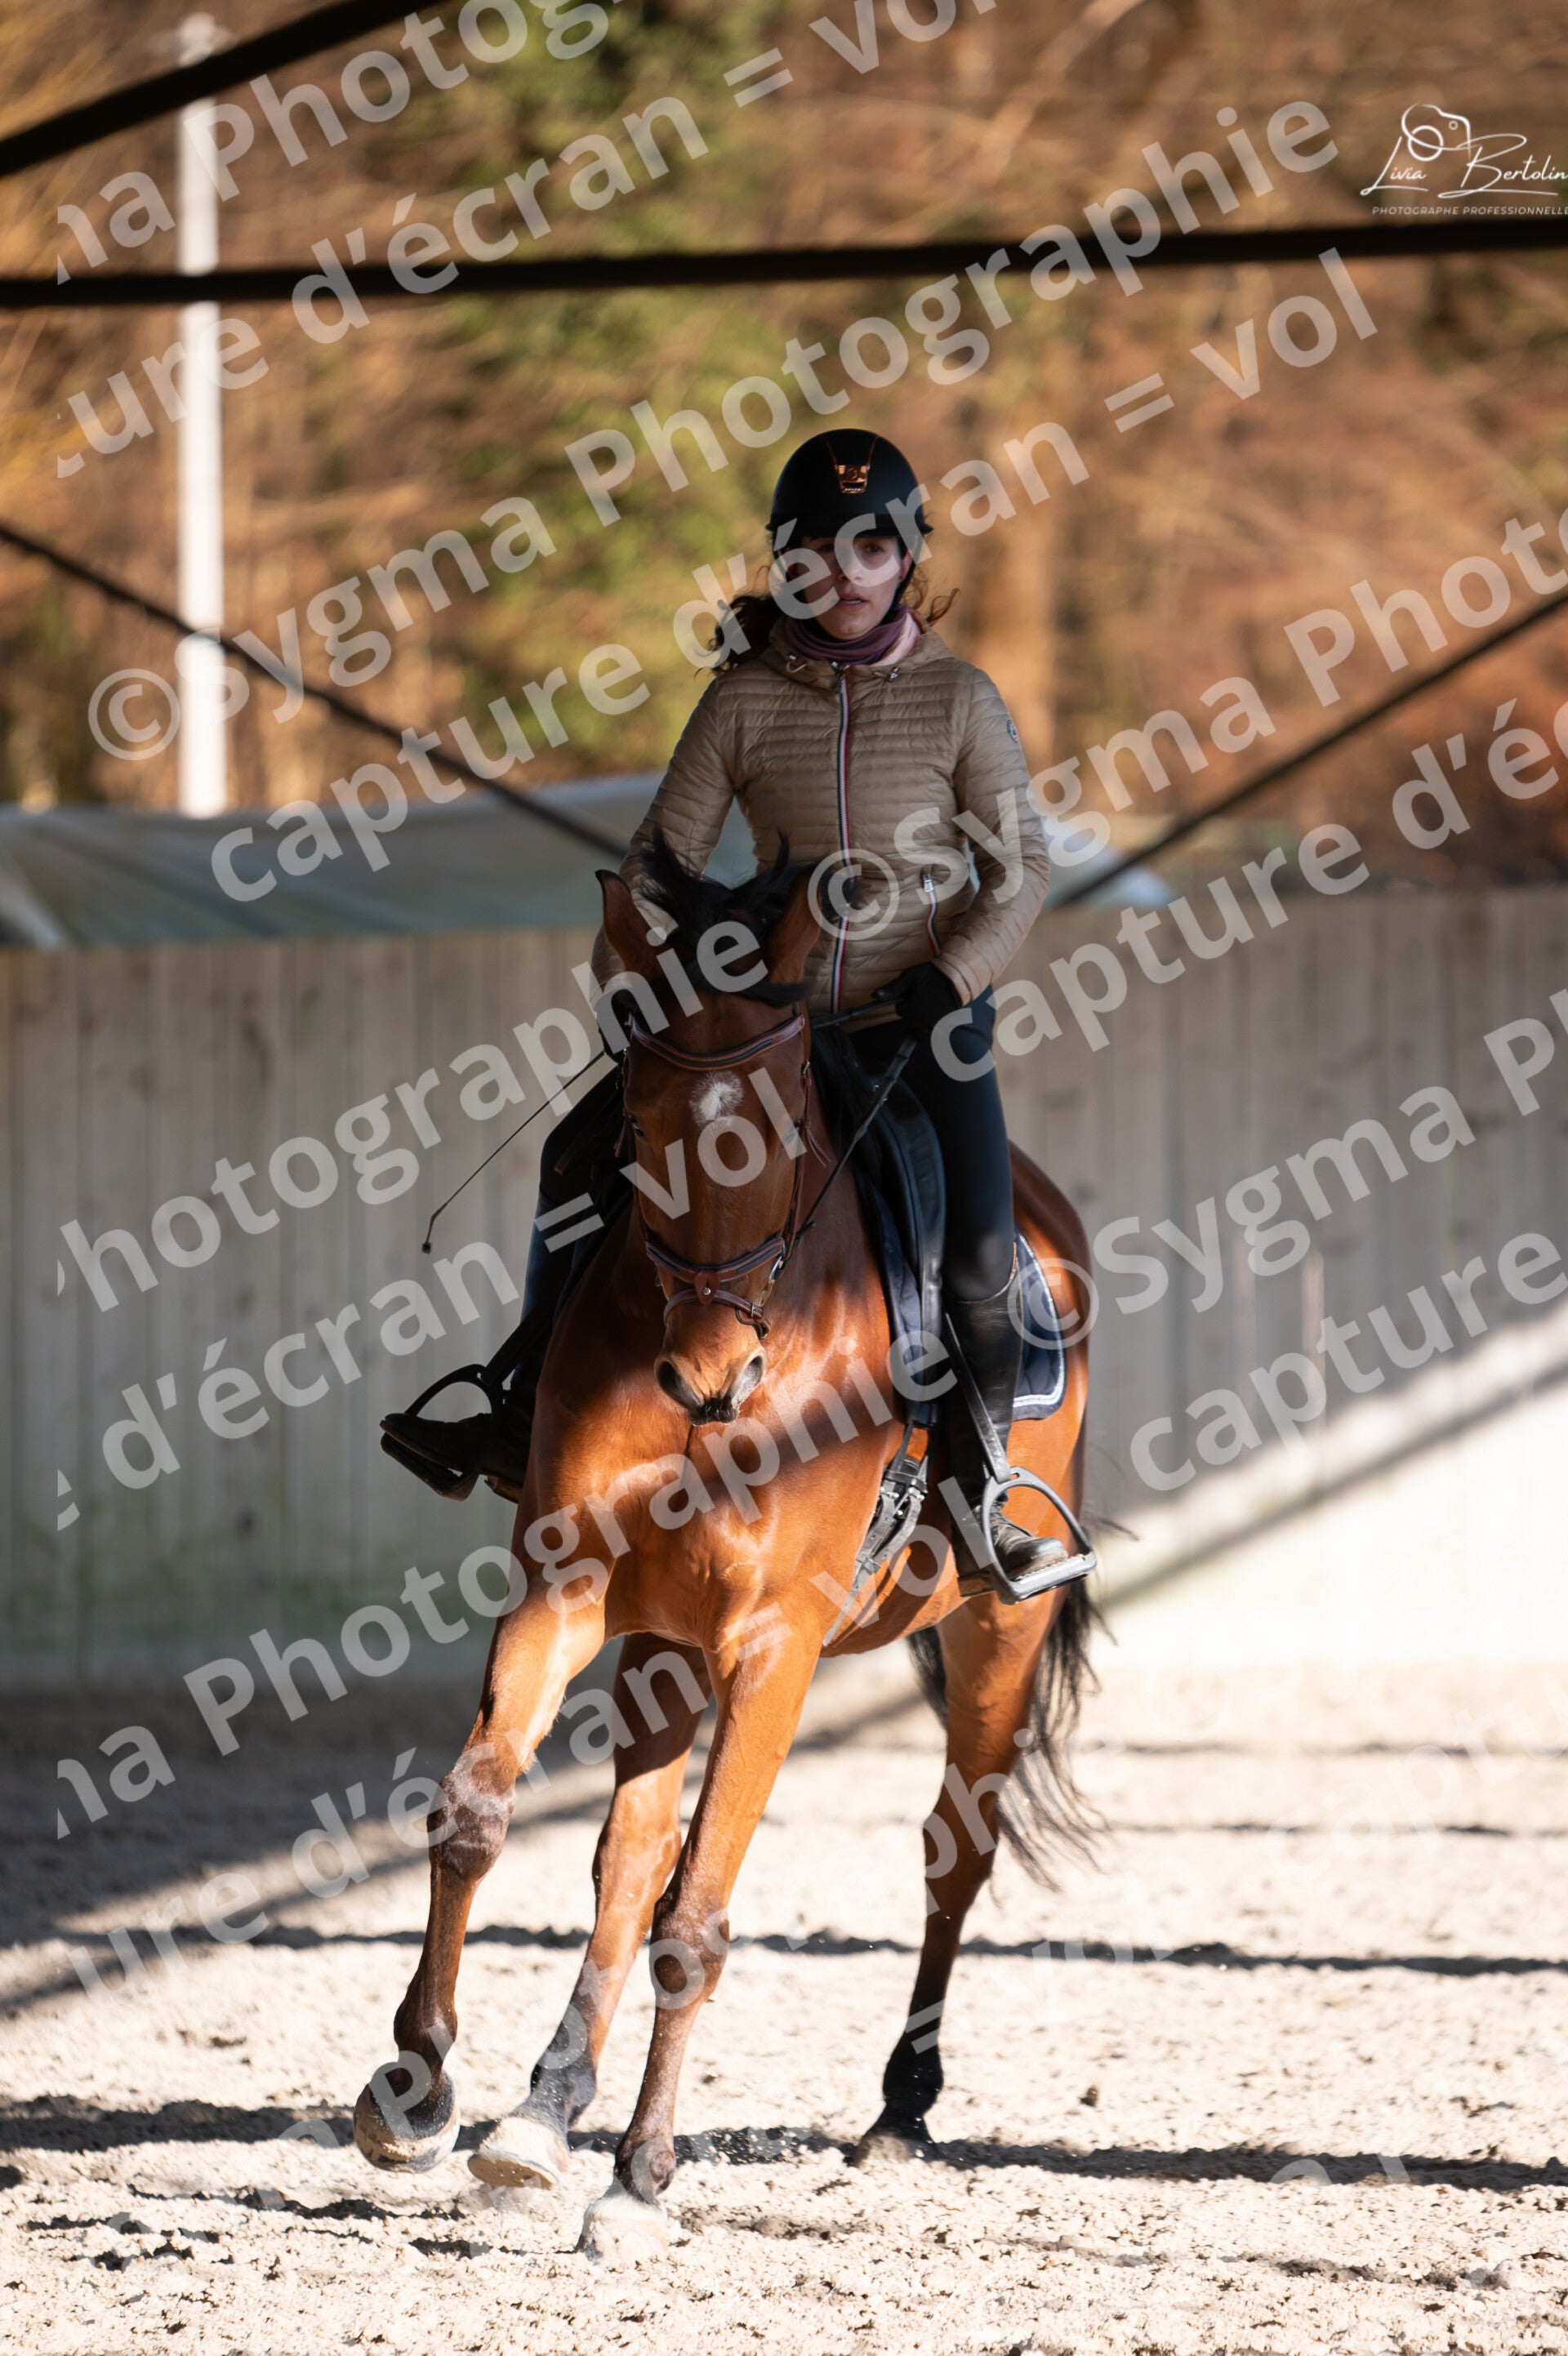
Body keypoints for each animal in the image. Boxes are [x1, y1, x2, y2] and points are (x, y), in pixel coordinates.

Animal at [352, 849, 1098, 2259]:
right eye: (637, 1134)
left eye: (790, 1131)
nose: (710, 1374)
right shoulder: (567, 1588)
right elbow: (479, 1816)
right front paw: (416, 2091)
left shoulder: (775, 1645)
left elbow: (696, 1920)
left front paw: (642, 2181)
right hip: (660, 1641)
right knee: (627, 1855)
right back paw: (543, 2112)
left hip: (996, 1626)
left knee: (955, 1849)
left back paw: (901, 2109)